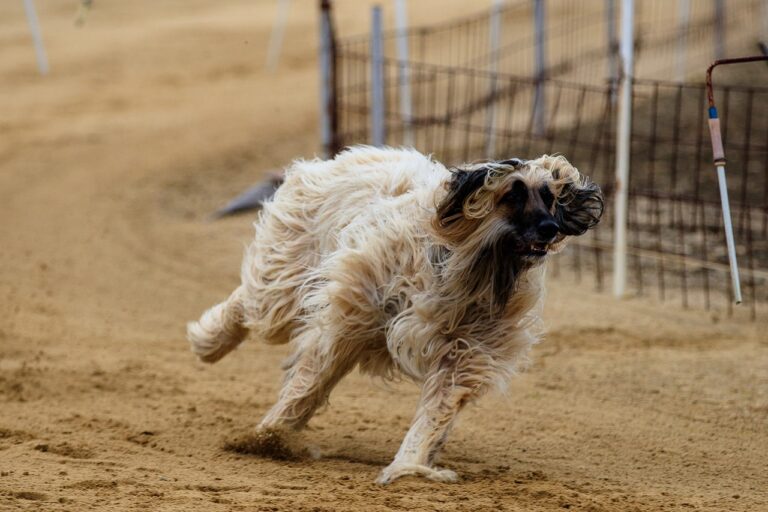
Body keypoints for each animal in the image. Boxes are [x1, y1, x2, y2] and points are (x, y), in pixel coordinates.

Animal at [186, 145, 600, 484]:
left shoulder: (466, 349)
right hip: (289, 273)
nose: (550, 229)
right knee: (253, 302)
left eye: (548, 196)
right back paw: (210, 341)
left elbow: (437, 409)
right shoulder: (352, 311)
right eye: (511, 194)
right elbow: (311, 379)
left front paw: (410, 464)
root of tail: (341, 157)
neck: (471, 267)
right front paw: (268, 434)